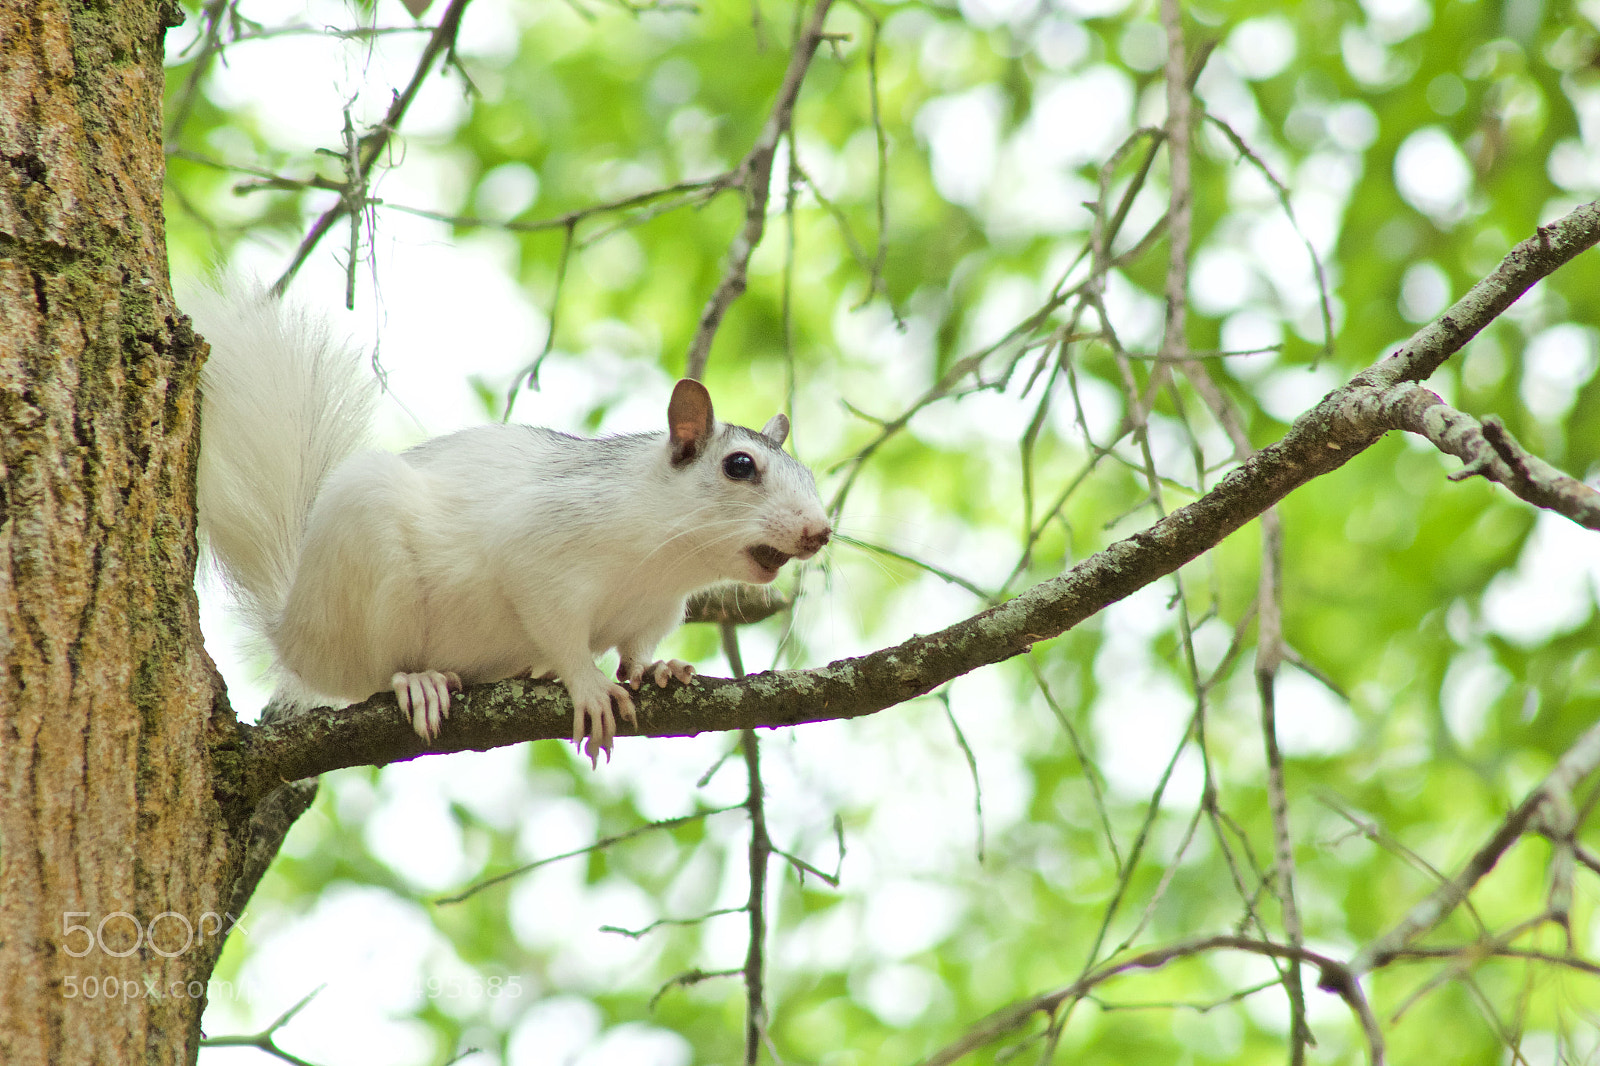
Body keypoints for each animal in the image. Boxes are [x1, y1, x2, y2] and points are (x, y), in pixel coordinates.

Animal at [193, 286, 832, 758]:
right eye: (740, 466)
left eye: (809, 474)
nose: (820, 531)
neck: (664, 563)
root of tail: (292, 629)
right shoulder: (541, 548)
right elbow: (559, 629)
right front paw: (588, 685)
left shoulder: (654, 611)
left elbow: (634, 651)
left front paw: (660, 669)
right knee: (369, 674)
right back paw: (417, 681)